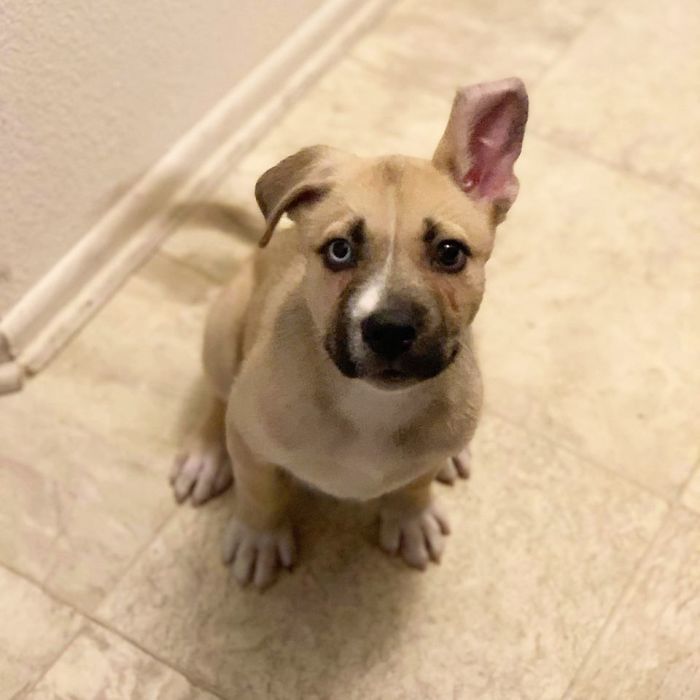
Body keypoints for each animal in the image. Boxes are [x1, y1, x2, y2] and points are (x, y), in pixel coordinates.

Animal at [170, 77, 528, 588]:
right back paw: (205, 452)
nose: (390, 330)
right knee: (218, 396)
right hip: (222, 333)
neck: (371, 406)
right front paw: (261, 537)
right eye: (340, 250)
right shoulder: (252, 441)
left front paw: (410, 516)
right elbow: (259, 491)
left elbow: (416, 482)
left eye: (449, 253)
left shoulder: (428, 450)